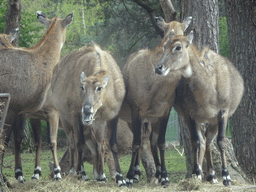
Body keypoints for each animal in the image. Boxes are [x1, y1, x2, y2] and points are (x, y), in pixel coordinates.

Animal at [120, 16, 192, 188]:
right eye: (166, 35)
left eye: (183, 32)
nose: (160, 68)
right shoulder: (136, 111)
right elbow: (136, 143)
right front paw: (129, 176)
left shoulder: (165, 112)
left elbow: (161, 143)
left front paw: (165, 176)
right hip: (134, 120)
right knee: (139, 141)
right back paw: (135, 173)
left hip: (152, 119)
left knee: (151, 142)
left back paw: (157, 173)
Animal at [154, 31, 244, 186]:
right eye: (164, 46)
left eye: (178, 47)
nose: (159, 67)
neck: (209, 90)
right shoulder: (191, 115)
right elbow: (196, 142)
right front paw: (196, 173)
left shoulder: (223, 112)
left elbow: (221, 141)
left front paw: (226, 176)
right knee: (203, 140)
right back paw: (207, 174)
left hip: (213, 120)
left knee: (209, 140)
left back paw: (212, 175)